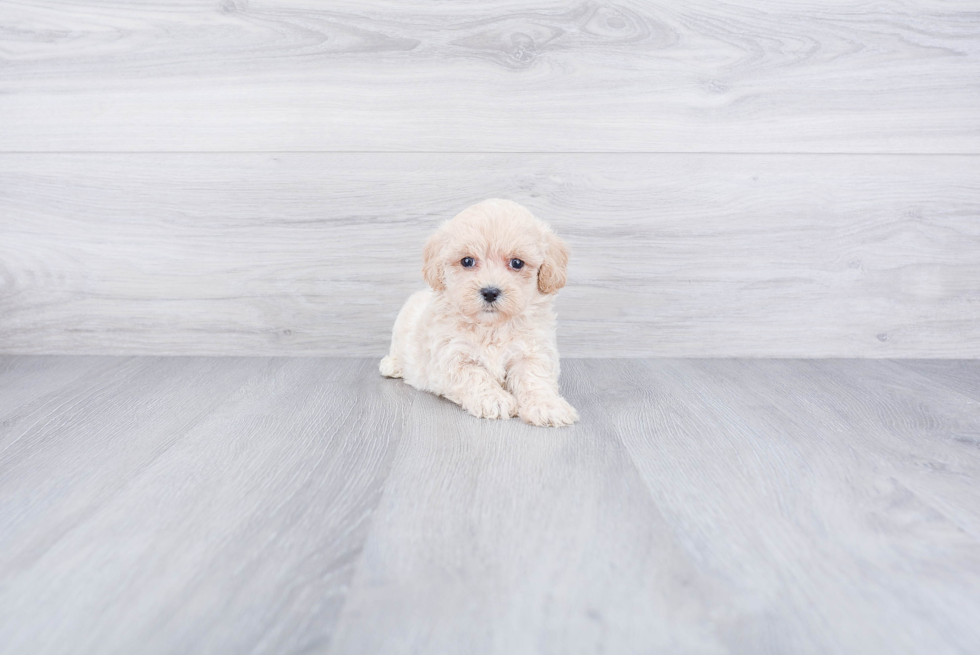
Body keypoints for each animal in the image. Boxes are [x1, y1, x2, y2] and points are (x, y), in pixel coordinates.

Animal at [378, 197, 580, 428]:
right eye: (467, 261)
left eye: (517, 263)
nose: (490, 292)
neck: (491, 327)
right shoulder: (452, 358)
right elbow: (475, 376)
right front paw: (495, 400)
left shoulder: (532, 351)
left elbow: (534, 378)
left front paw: (547, 406)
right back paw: (393, 365)